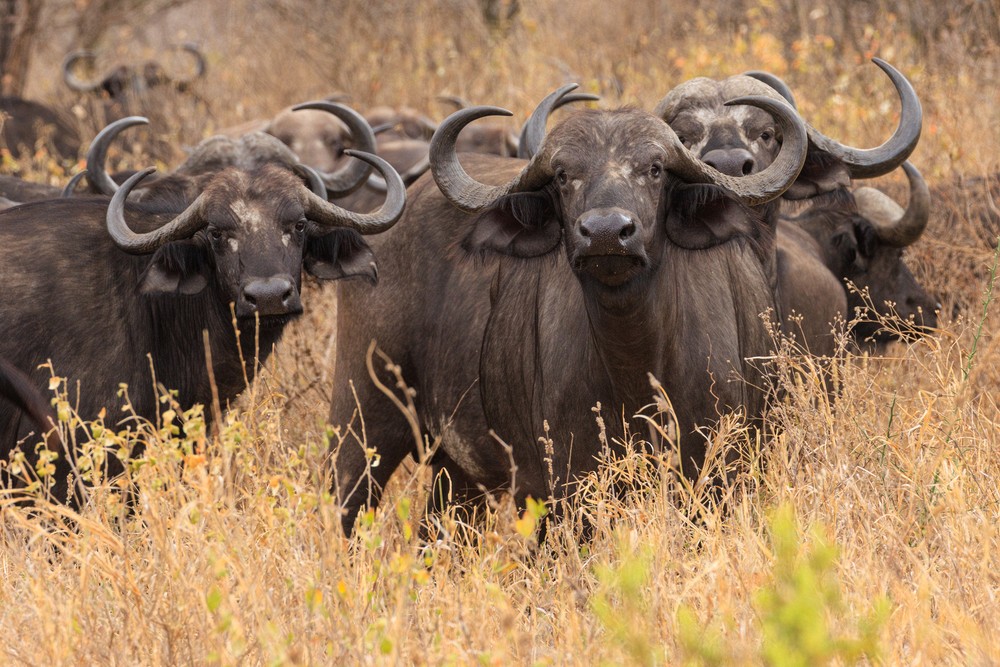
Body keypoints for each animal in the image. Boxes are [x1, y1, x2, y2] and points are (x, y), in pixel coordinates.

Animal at [327, 89, 809, 535]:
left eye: (655, 169)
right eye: (563, 176)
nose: (606, 232)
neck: (637, 364)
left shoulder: (719, 474)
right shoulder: (568, 483)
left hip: (459, 475)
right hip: (360, 420)